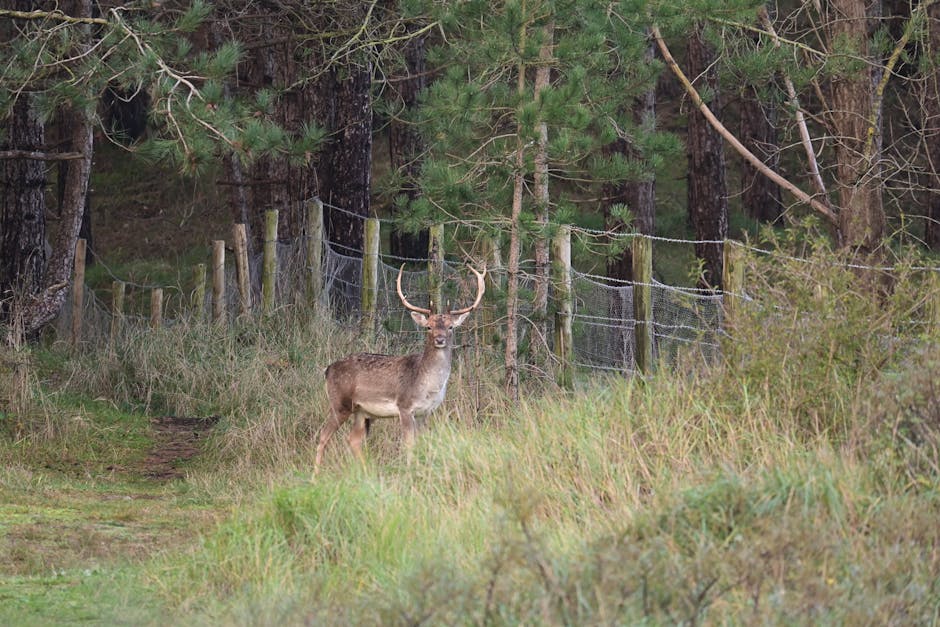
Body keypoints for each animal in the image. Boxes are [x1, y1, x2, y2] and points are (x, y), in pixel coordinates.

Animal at [315, 263, 486, 469]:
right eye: (428, 326)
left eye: (450, 327)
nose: (440, 339)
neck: (428, 386)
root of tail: (327, 370)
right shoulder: (404, 406)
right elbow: (408, 444)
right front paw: (410, 468)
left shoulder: (426, 412)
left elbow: (422, 442)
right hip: (339, 403)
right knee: (322, 436)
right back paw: (316, 473)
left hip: (362, 412)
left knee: (352, 440)